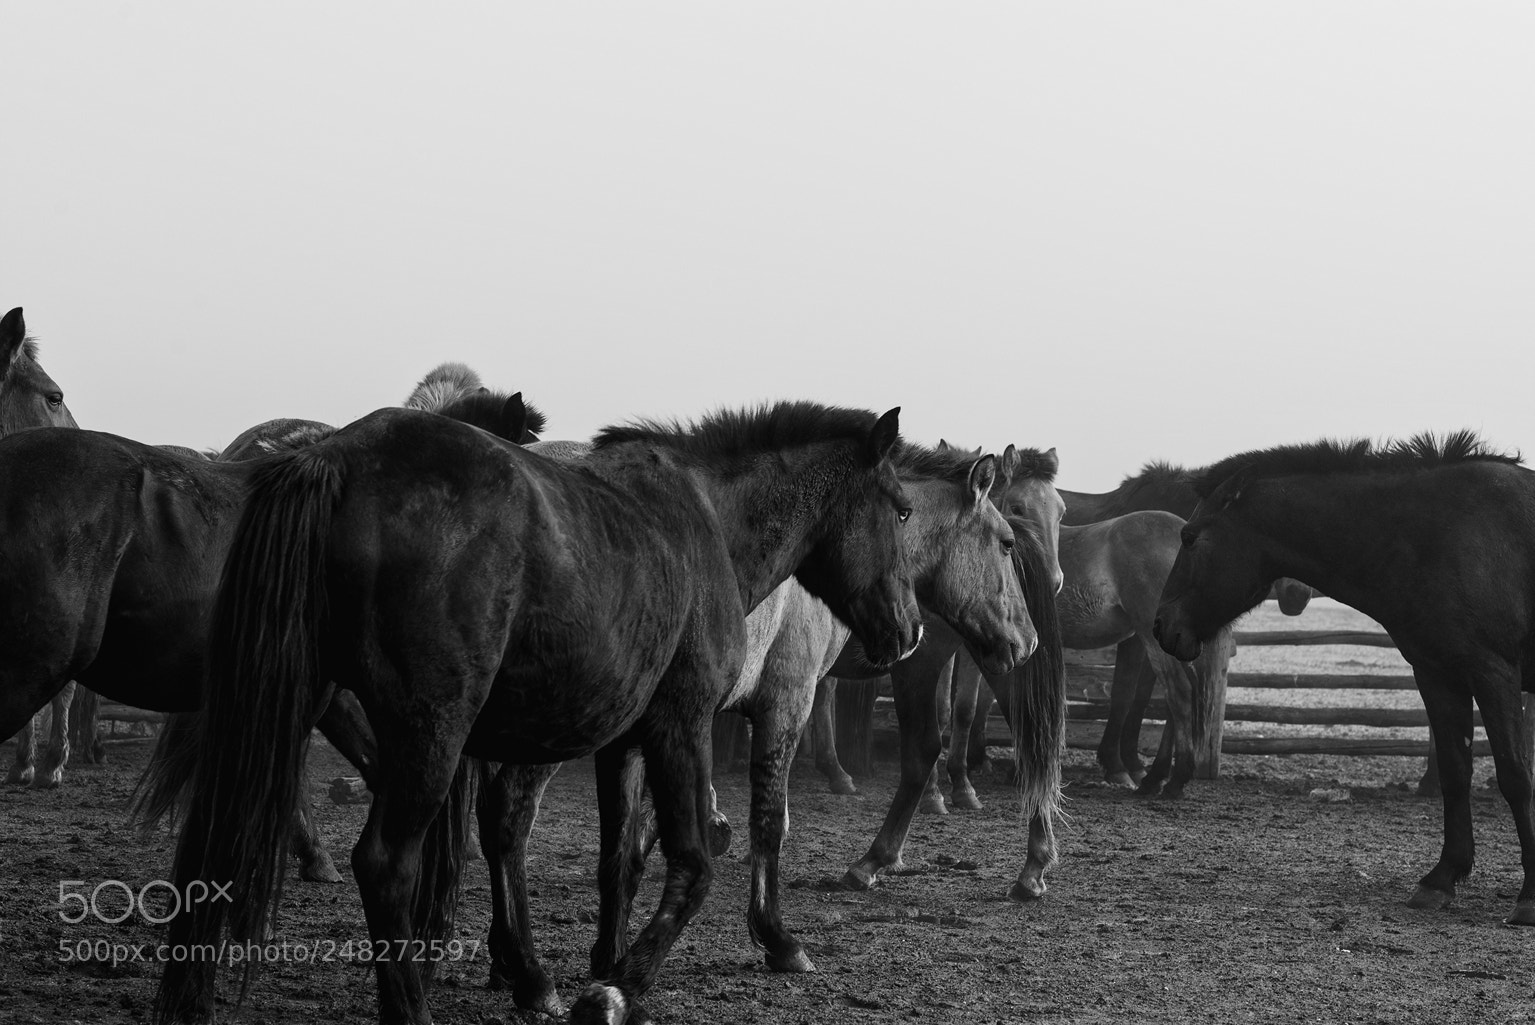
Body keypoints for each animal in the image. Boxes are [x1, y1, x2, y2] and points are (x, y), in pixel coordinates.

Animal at [155, 401, 925, 1025]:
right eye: (901, 510)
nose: (910, 630)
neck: (705, 518)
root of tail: (336, 456)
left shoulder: (624, 741)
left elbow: (620, 860)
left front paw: (608, 967)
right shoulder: (683, 722)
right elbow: (694, 861)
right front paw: (617, 988)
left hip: (292, 707)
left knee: (228, 831)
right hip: (431, 733)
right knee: (386, 862)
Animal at [468, 440, 1040, 1016]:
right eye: (1007, 543)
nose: (1027, 642)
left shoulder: (655, 730)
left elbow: (631, 848)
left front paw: (615, 960)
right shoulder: (785, 703)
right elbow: (767, 822)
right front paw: (776, 938)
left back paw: (505, 959)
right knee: (510, 819)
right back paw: (531, 974)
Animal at [1152, 432, 1535, 925]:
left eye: (1189, 537)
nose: (1161, 625)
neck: (1439, 531)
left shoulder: (1494, 673)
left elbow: (1515, 776)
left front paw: (1530, 895)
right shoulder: (1439, 675)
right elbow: (1455, 774)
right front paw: (1441, 878)